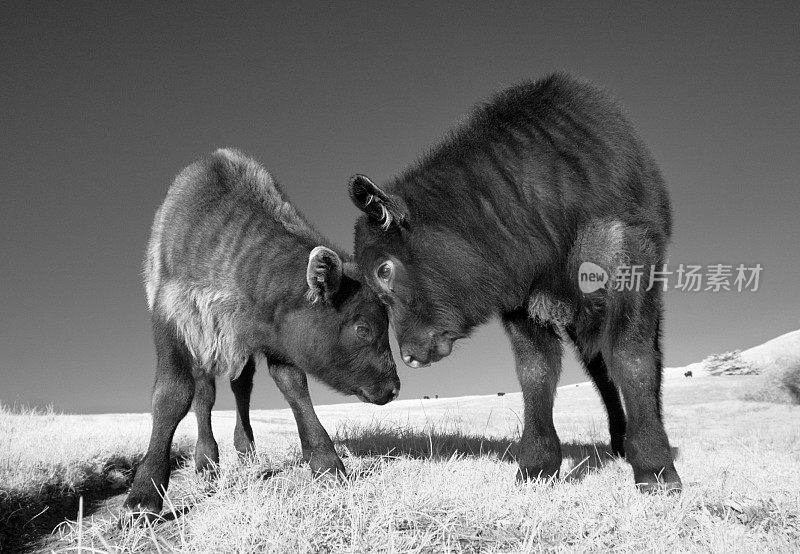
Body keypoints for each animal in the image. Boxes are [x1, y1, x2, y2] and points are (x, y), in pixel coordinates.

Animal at [125, 148, 400, 516]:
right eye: (363, 327)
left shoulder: (271, 341)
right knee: (204, 394)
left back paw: (245, 450)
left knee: (240, 389)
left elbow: (294, 389)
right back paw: (206, 462)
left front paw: (327, 465)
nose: (393, 387)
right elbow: (172, 396)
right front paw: (143, 495)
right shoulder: (174, 324)